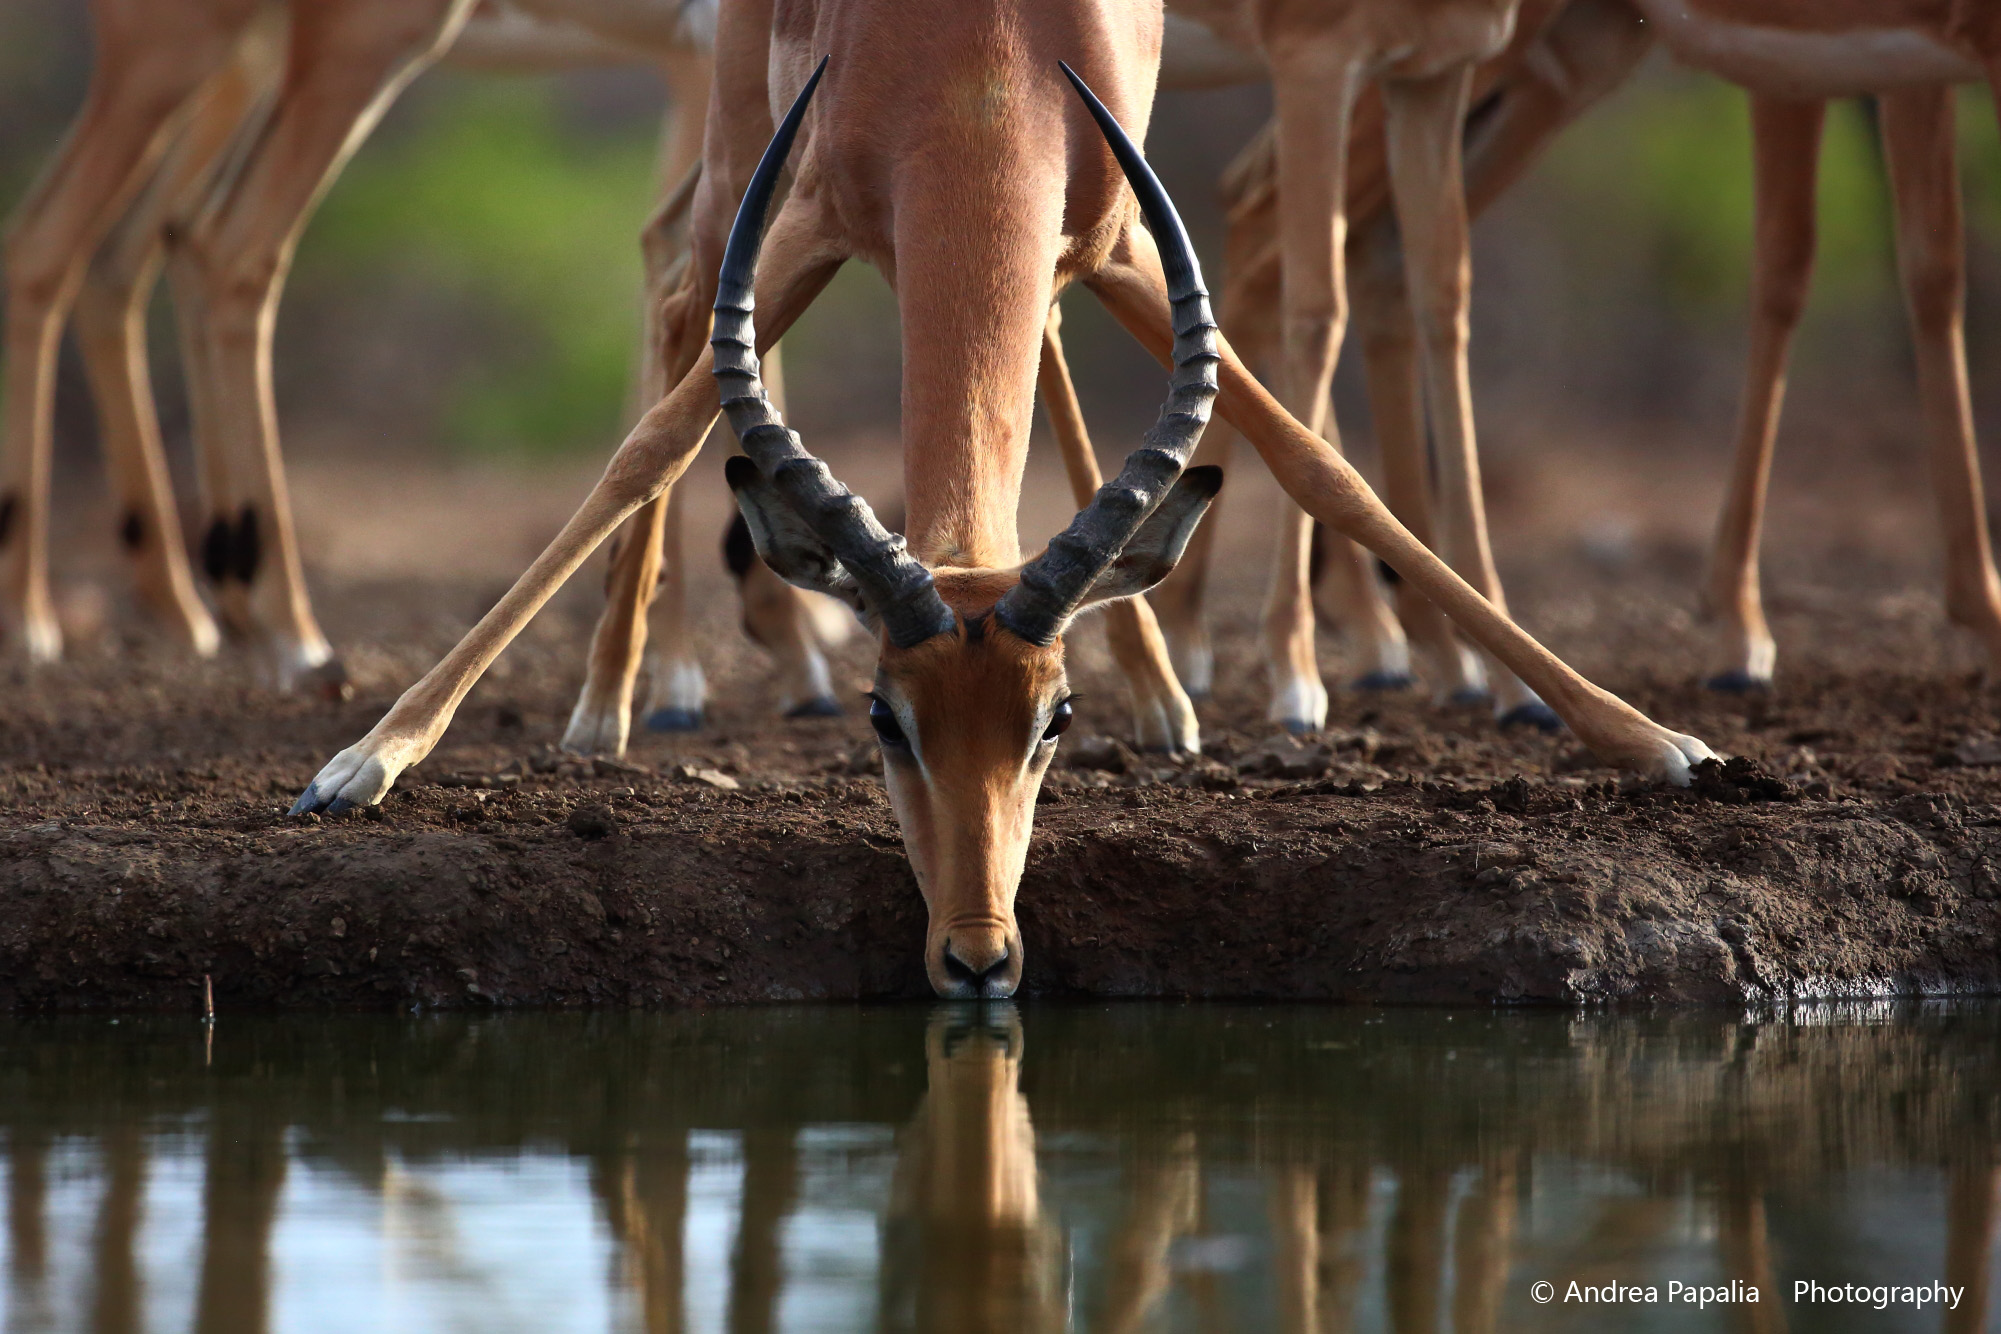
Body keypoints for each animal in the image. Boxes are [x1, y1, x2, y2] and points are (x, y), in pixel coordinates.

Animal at [289, 0, 1713, 998]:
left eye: (1054, 719)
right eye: (884, 715)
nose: (978, 958)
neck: (981, 67)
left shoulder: (1128, 241)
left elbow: (1317, 457)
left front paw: (1649, 738)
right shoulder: (802, 223)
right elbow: (649, 441)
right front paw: (362, 762)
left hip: (1072, 250)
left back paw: (1176, 699)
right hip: (742, 146)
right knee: (676, 300)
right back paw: (611, 701)